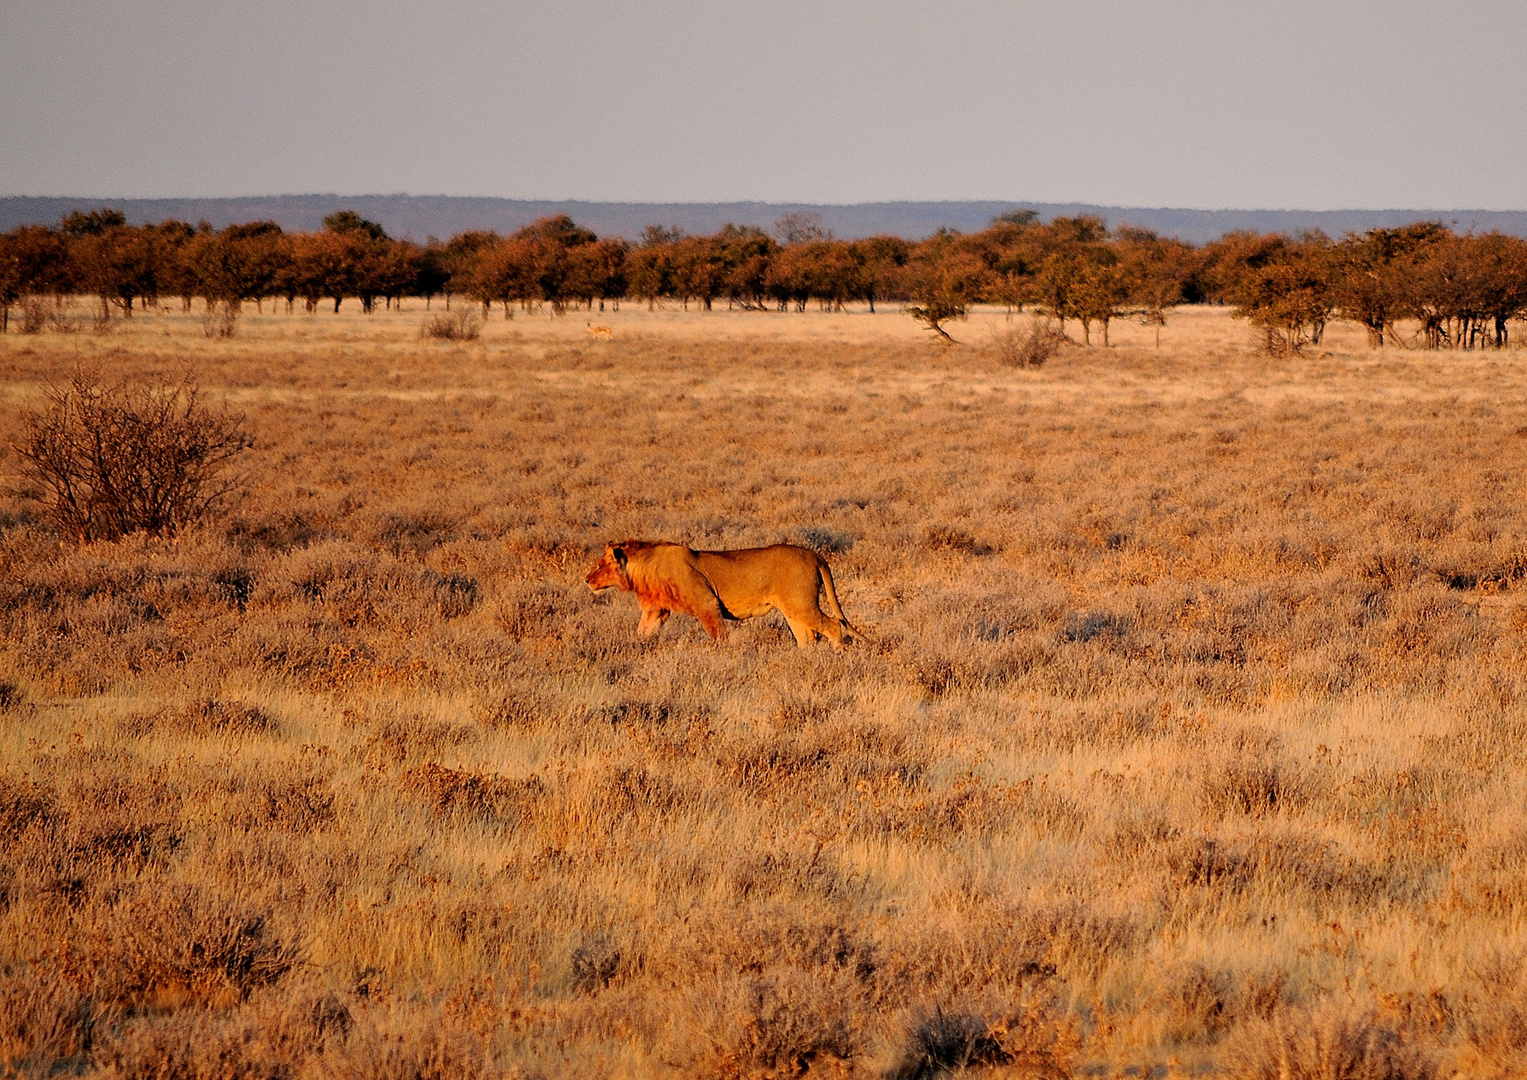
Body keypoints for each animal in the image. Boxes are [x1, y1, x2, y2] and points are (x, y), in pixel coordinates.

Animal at [583, 540, 867, 650]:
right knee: (807, 638)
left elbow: (718, 634)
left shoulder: (706, 603)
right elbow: (643, 631)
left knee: (832, 625)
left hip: (801, 604)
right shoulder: (657, 610)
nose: (586, 580)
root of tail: (815, 555)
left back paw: (836, 654)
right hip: (793, 609)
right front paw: (637, 647)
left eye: (598, 566)